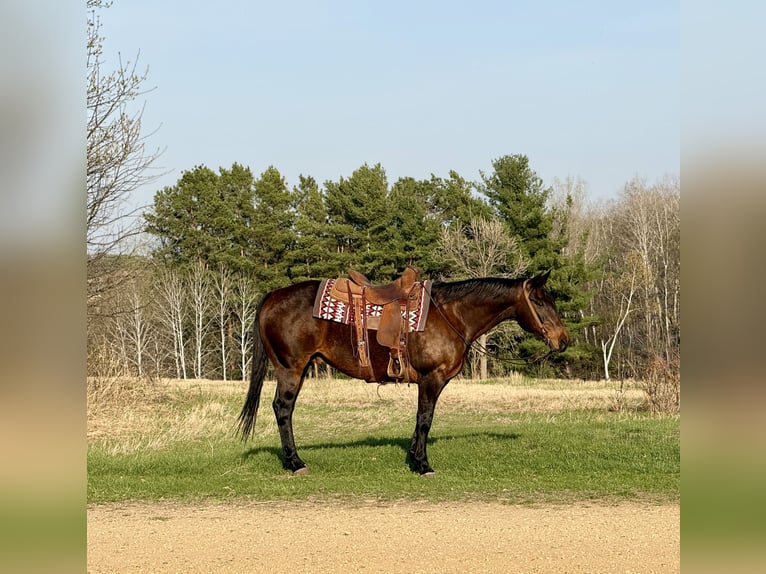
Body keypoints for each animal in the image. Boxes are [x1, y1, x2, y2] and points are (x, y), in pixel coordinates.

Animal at [237, 270, 569, 475]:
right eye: (538, 301)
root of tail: (273, 296)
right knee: (283, 409)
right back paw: (295, 462)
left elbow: (421, 420)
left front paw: (413, 456)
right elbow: (425, 419)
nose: (563, 340)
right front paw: (422, 464)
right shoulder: (431, 378)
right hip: (291, 368)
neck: (451, 315)